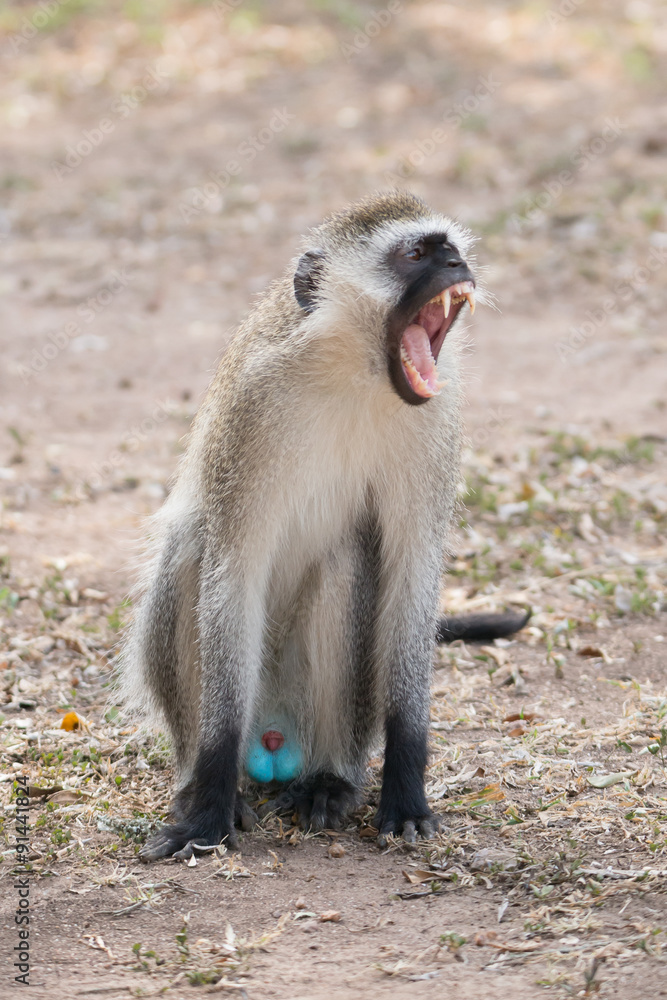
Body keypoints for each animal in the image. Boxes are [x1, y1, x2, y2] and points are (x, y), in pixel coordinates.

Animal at [120, 191, 529, 861]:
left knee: (347, 562)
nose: (456, 266)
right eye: (416, 253)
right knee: (190, 549)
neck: (354, 374)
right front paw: (207, 810)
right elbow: (233, 572)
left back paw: (329, 781)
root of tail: (274, 741)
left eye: (450, 248)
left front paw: (406, 791)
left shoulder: (438, 418)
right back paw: (205, 783)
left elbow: (413, 580)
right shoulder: (254, 409)